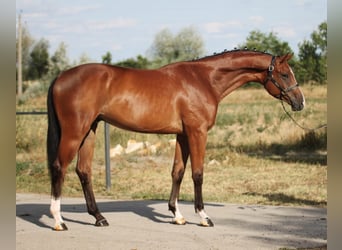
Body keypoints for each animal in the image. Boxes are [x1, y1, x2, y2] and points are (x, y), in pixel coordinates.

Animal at [46, 49, 304, 230]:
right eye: (284, 74)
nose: (300, 102)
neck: (204, 80)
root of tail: (60, 76)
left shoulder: (182, 135)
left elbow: (177, 172)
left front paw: (178, 215)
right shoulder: (197, 132)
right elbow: (198, 173)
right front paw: (203, 216)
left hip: (89, 131)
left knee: (83, 171)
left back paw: (99, 218)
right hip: (75, 132)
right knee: (59, 167)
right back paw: (59, 221)